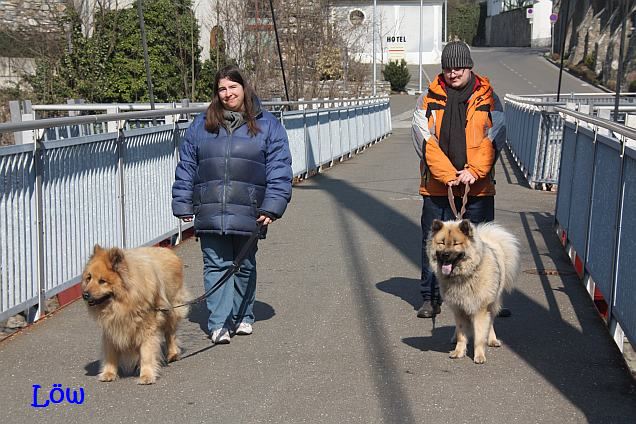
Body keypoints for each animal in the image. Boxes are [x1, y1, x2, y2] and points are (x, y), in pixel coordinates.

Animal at [80, 245, 189, 384]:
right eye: (89, 278)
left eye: (102, 281)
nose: (84, 294)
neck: (123, 304)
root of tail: (168, 251)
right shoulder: (111, 328)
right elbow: (110, 353)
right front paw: (109, 373)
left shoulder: (148, 327)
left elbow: (147, 353)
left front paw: (147, 375)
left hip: (171, 310)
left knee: (170, 334)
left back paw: (173, 354)